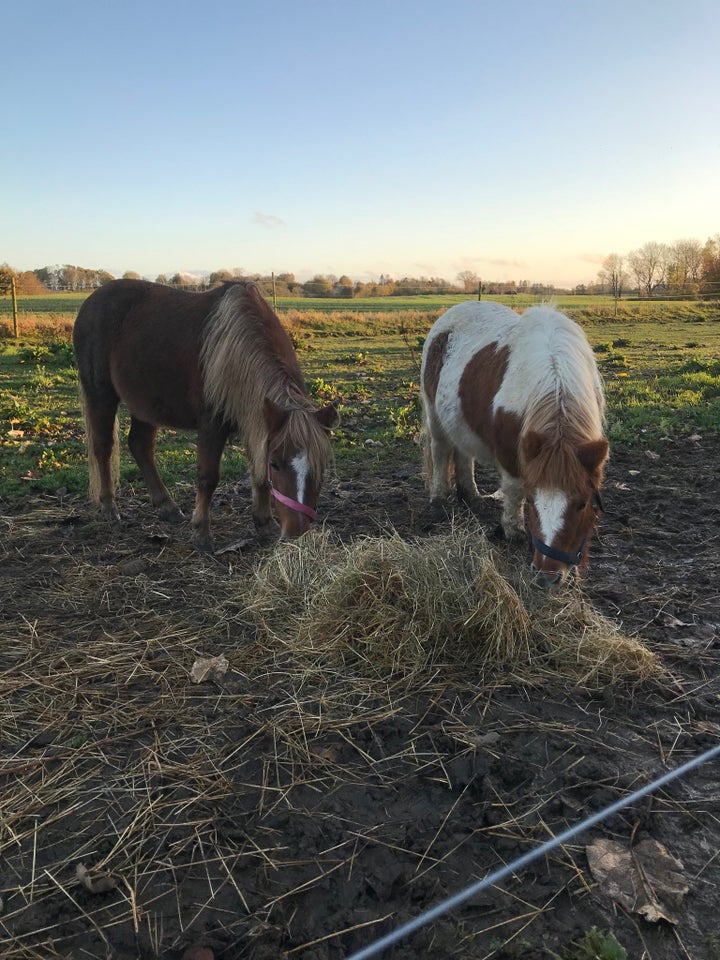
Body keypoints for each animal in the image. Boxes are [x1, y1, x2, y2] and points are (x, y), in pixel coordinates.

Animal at [73, 278, 338, 552]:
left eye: (322, 465)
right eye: (275, 463)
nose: (296, 533)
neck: (235, 350)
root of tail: (91, 301)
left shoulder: (255, 421)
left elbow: (258, 473)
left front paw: (264, 524)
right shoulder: (212, 426)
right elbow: (209, 477)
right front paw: (201, 533)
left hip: (145, 404)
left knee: (140, 446)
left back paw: (167, 506)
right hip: (100, 394)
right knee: (103, 447)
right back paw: (109, 506)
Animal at [422, 302, 608, 584]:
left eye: (582, 504)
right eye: (532, 502)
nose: (546, 577)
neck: (554, 376)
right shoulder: (511, 454)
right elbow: (514, 488)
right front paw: (514, 531)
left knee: (463, 454)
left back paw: (471, 495)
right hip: (434, 415)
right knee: (441, 451)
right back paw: (438, 497)